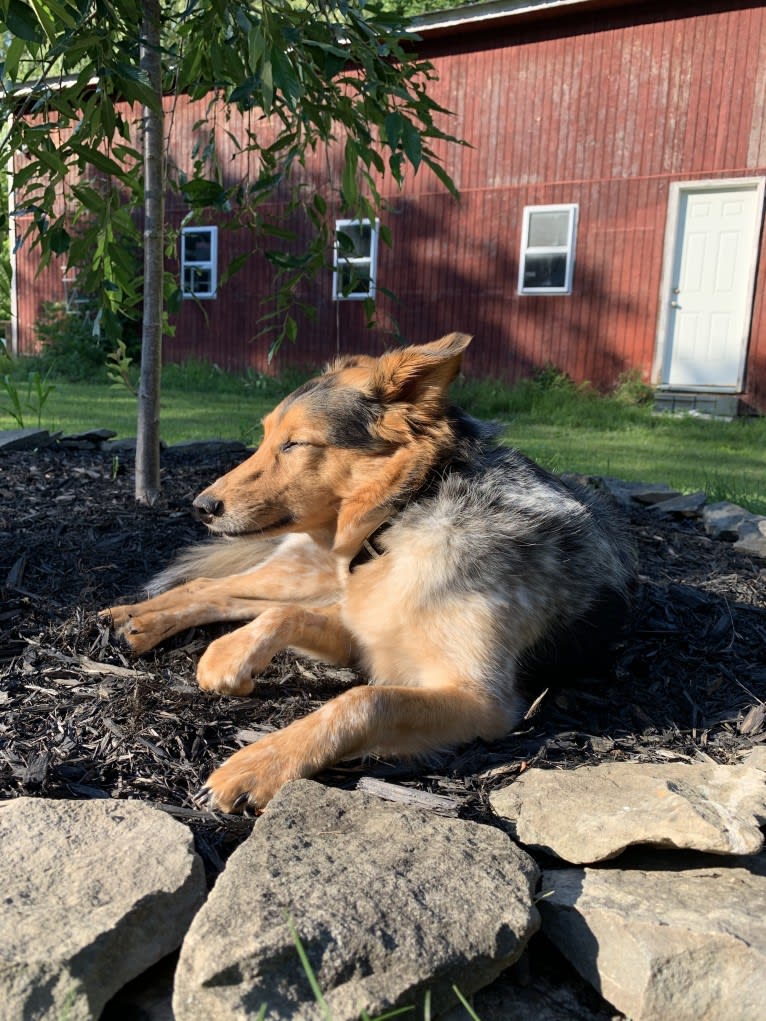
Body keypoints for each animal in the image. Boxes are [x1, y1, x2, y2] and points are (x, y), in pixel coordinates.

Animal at [103, 334, 637, 812]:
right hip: (306, 574)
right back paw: (130, 616)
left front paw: (258, 763)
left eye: (295, 444)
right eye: (266, 437)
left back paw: (136, 623)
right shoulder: (362, 629)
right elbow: (284, 620)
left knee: (233, 596)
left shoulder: (481, 698)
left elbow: (362, 699)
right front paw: (226, 657)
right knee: (217, 587)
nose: (201, 507)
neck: (407, 512)